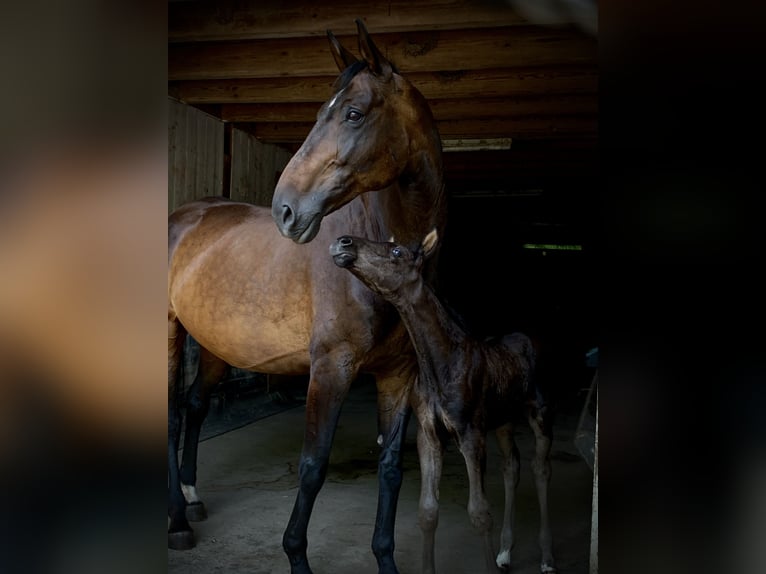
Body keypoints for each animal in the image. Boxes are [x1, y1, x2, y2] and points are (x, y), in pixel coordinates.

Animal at [166, 19, 444, 574]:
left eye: (353, 113)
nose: (286, 210)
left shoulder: (398, 376)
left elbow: (390, 468)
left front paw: (386, 560)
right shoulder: (331, 368)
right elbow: (313, 466)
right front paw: (296, 556)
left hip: (212, 343)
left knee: (195, 405)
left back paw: (190, 498)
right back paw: (178, 524)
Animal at [332, 231, 560, 574]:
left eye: (397, 252)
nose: (342, 244)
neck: (441, 364)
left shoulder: (470, 433)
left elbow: (480, 513)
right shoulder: (429, 434)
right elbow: (427, 511)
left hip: (540, 411)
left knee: (541, 468)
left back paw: (546, 558)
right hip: (504, 420)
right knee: (512, 466)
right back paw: (505, 552)